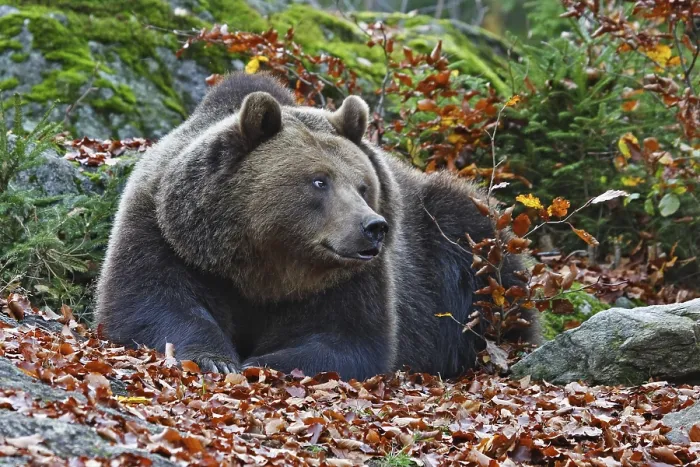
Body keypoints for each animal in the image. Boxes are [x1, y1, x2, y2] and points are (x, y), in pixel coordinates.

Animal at [96, 72, 540, 380]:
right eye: (319, 181)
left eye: (363, 186)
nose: (372, 227)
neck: (262, 266)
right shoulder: (167, 236)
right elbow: (153, 302)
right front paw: (216, 359)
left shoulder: (354, 280)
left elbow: (347, 339)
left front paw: (261, 361)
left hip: (449, 239)